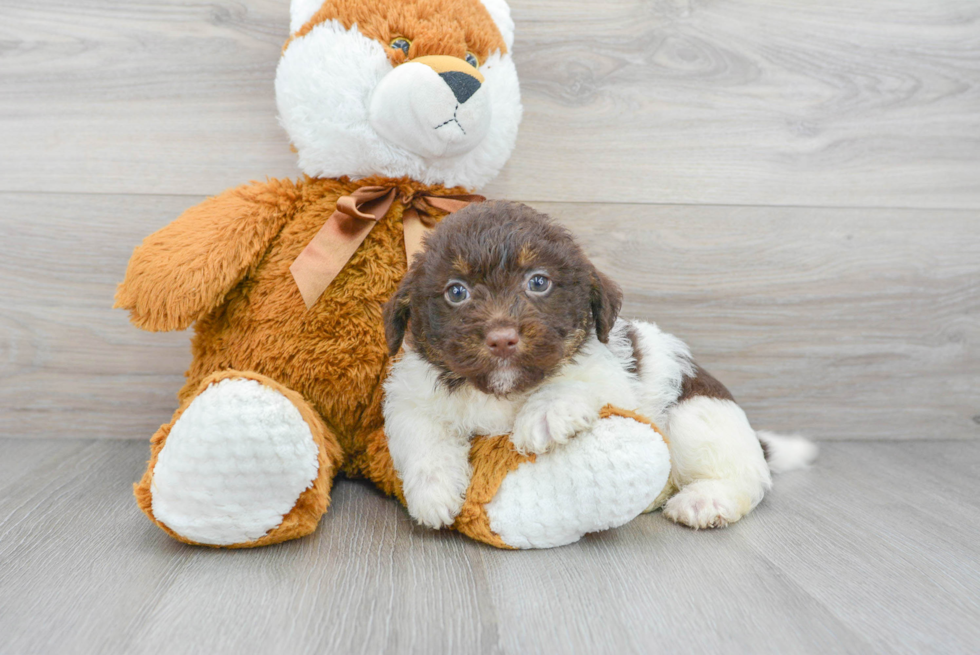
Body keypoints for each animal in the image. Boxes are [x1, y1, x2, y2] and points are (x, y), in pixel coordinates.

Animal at [378, 202, 816, 532]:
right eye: (456, 292)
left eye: (539, 282)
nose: (502, 338)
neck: (504, 391)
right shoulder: (411, 398)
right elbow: (422, 436)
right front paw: (433, 493)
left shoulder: (611, 375)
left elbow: (576, 380)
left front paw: (545, 413)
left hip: (696, 414)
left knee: (748, 475)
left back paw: (706, 498)